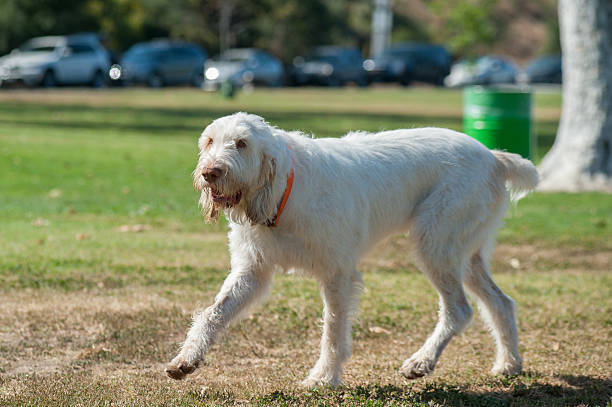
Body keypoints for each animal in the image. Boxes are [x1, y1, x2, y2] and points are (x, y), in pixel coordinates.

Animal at [165, 113, 536, 388]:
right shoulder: (251, 273)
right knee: (501, 303)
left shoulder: (337, 275)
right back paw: (508, 364)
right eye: (209, 141)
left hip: (435, 246)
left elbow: (332, 328)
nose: (210, 173)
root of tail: (492, 157)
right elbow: (214, 313)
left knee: (459, 309)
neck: (283, 191)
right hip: (465, 256)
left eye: (242, 144)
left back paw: (421, 362)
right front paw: (186, 360)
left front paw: (324, 378)